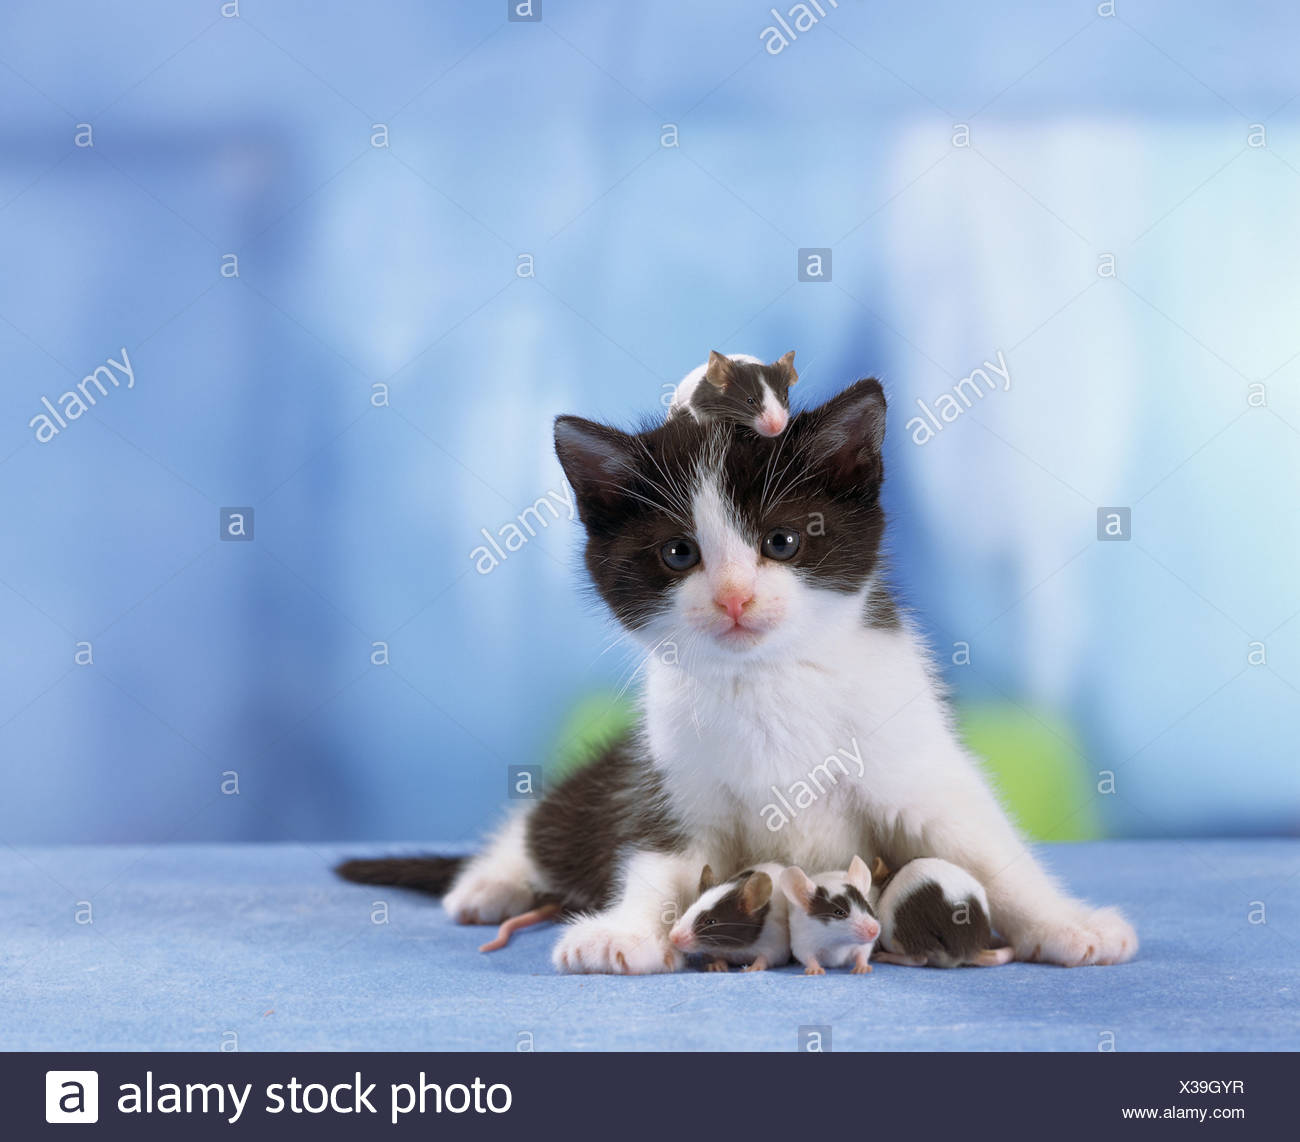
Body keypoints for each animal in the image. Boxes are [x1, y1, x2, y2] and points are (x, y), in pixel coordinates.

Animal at [338, 379, 1138, 967]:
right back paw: (489, 881)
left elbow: (988, 848)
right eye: (678, 553)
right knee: (549, 821)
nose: (733, 597)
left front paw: (1068, 924)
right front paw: (621, 931)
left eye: (782, 541)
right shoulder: (669, 780)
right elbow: (653, 857)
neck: (767, 678)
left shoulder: (912, 762)